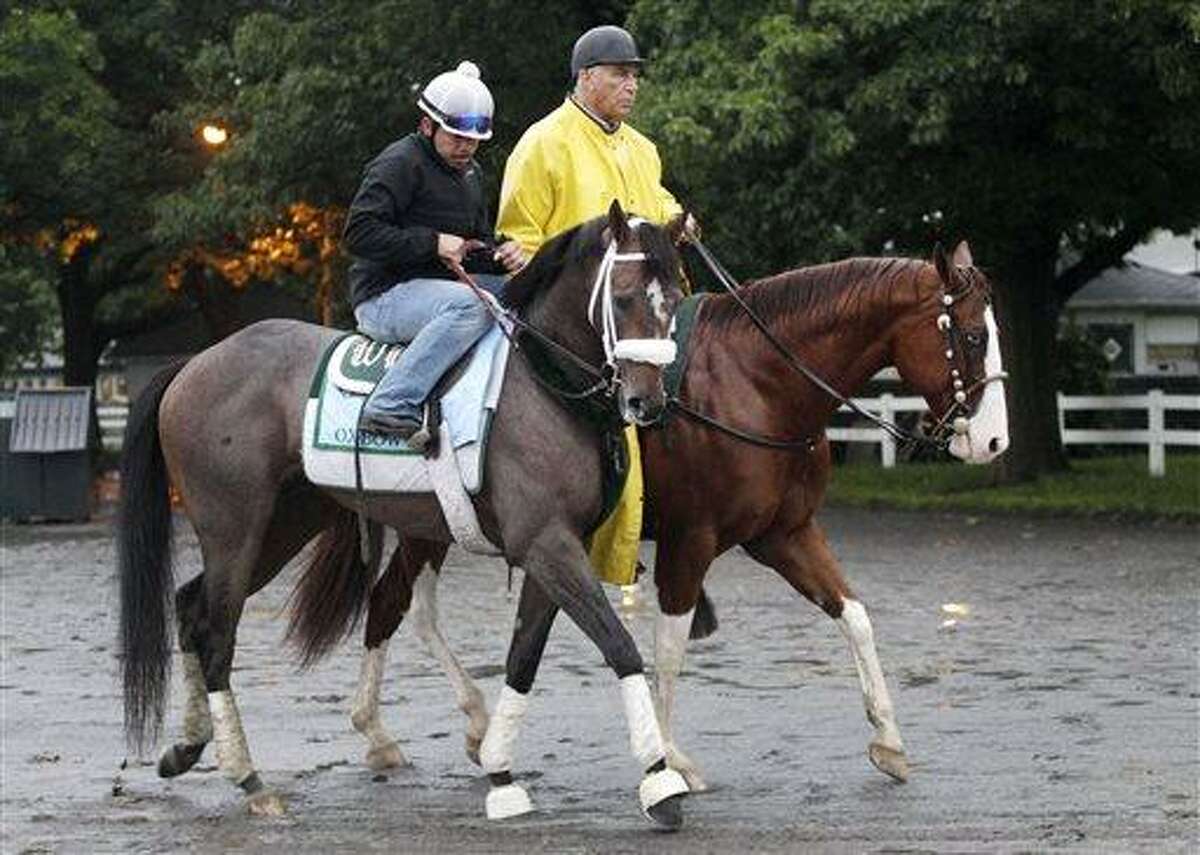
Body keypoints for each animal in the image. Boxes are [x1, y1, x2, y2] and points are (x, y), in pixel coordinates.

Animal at [336, 244, 1003, 802]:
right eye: (972, 336)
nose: (994, 441)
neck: (754, 382)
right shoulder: (691, 541)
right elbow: (669, 648)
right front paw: (671, 760)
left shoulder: (784, 534)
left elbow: (855, 616)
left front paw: (889, 742)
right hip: (428, 521)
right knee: (391, 602)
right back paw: (386, 731)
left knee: (404, 605)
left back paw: (453, 726)